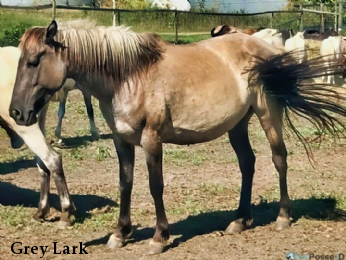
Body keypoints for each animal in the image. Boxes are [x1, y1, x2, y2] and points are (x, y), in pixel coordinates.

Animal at [8, 21, 346, 255]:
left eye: (34, 61)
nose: (17, 113)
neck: (129, 76)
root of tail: (264, 47)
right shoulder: (122, 140)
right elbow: (125, 183)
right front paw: (120, 233)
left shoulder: (151, 139)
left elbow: (155, 186)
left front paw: (159, 237)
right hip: (238, 123)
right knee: (247, 164)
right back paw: (240, 220)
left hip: (267, 112)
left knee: (279, 159)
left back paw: (283, 217)